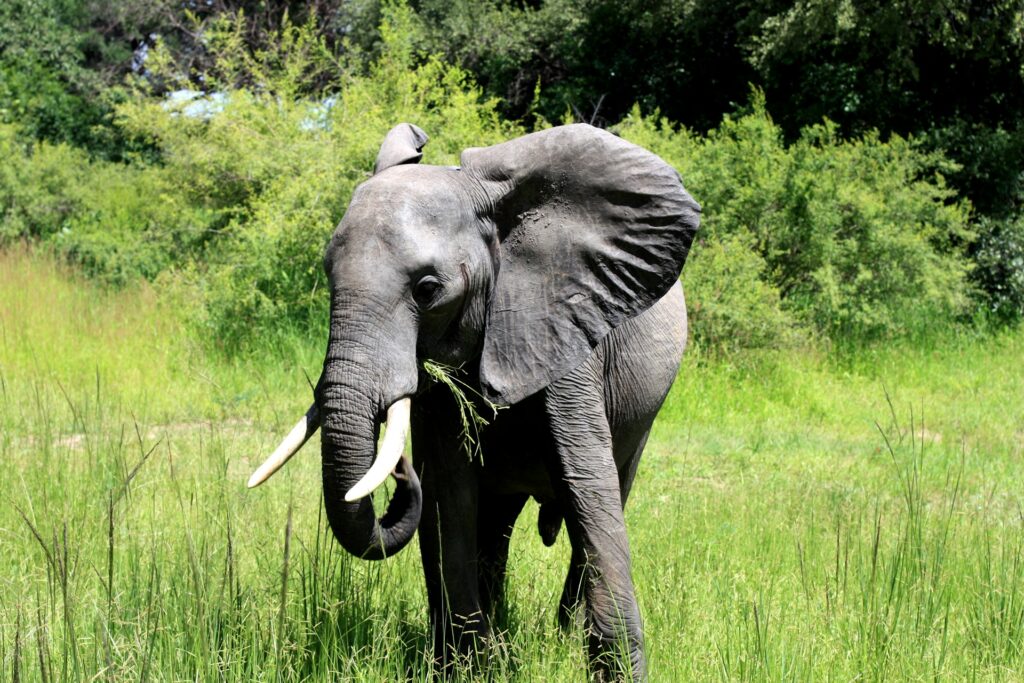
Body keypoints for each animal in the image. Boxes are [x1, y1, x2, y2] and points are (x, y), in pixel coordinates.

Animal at [245, 122, 704, 679]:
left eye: (426, 289)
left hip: (644, 416)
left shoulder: (562, 325)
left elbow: (587, 490)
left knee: (608, 491)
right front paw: (472, 667)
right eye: (329, 275)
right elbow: (451, 494)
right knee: (494, 524)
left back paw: (559, 632)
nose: (399, 469)